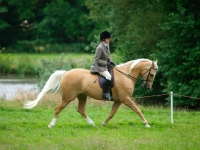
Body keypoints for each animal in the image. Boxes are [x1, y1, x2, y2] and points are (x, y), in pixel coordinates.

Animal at [23, 58, 158, 127]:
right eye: (152, 74)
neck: (126, 75)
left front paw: (103, 124)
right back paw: (51, 125)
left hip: (82, 96)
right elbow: (138, 110)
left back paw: (92, 124)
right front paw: (146, 124)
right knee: (58, 109)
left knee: (81, 110)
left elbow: (112, 114)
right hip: (68, 97)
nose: (147, 87)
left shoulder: (119, 100)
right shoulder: (126, 99)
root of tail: (66, 73)